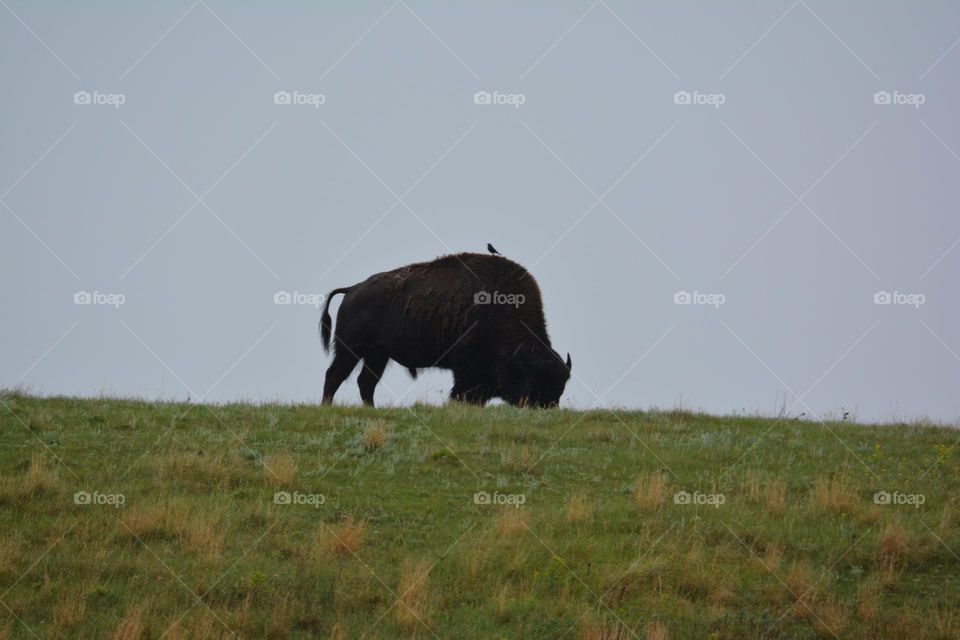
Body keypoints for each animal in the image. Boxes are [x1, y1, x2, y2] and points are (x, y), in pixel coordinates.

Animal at [319, 252, 571, 407]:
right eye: (533, 379)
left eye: (561, 387)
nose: (546, 407)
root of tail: (353, 289)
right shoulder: (467, 370)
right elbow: (462, 391)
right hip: (350, 350)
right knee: (334, 376)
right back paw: (327, 406)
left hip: (377, 356)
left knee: (365, 382)